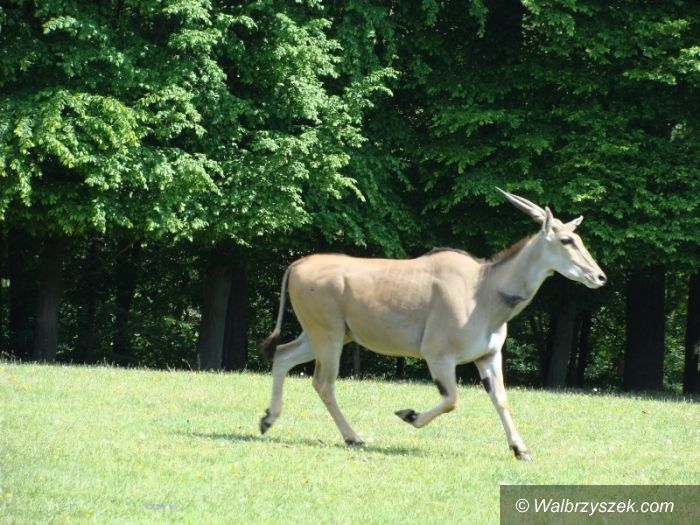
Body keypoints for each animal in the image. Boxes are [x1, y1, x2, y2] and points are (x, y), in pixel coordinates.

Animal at [259, 189, 606, 460]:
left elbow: (501, 399)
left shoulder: (488, 357)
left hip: (325, 336)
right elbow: (451, 399)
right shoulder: (438, 356)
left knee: (283, 356)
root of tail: (298, 263)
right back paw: (353, 437)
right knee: (323, 383)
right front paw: (408, 415)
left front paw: (520, 449)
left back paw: (268, 419)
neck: (485, 288)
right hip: (327, 336)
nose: (599, 276)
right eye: (566, 240)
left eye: (577, 238)